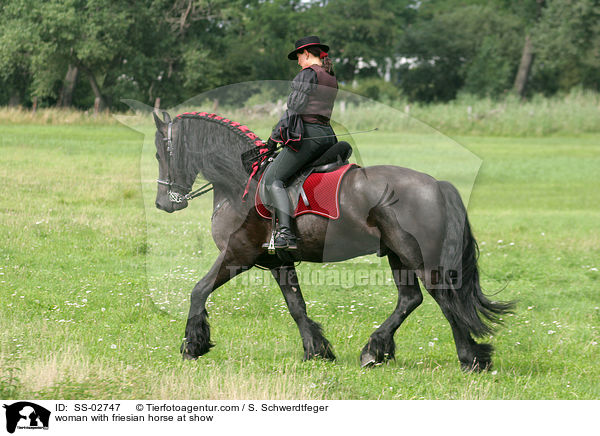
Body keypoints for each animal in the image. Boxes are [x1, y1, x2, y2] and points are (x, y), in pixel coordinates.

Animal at [152, 110, 512, 370]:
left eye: (159, 153)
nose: (164, 203)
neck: (241, 182)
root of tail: (437, 184)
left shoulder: (237, 254)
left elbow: (198, 290)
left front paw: (192, 345)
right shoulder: (277, 262)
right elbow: (296, 306)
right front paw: (317, 350)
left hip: (418, 258)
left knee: (445, 298)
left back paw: (470, 358)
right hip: (398, 255)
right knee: (410, 300)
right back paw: (374, 351)